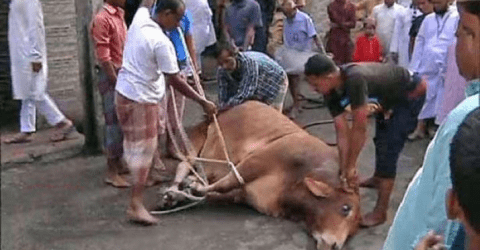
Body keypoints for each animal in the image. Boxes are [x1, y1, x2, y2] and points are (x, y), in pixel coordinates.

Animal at [172, 100, 360, 249]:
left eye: (353, 230)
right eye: (345, 208)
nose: (336, 245)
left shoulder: (245, 195)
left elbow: (218, 193)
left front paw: (189, 191)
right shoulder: (256, 161)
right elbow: (227, 182)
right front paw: (192, 189)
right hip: (197, 139)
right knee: (185, 162)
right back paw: (174, 189)